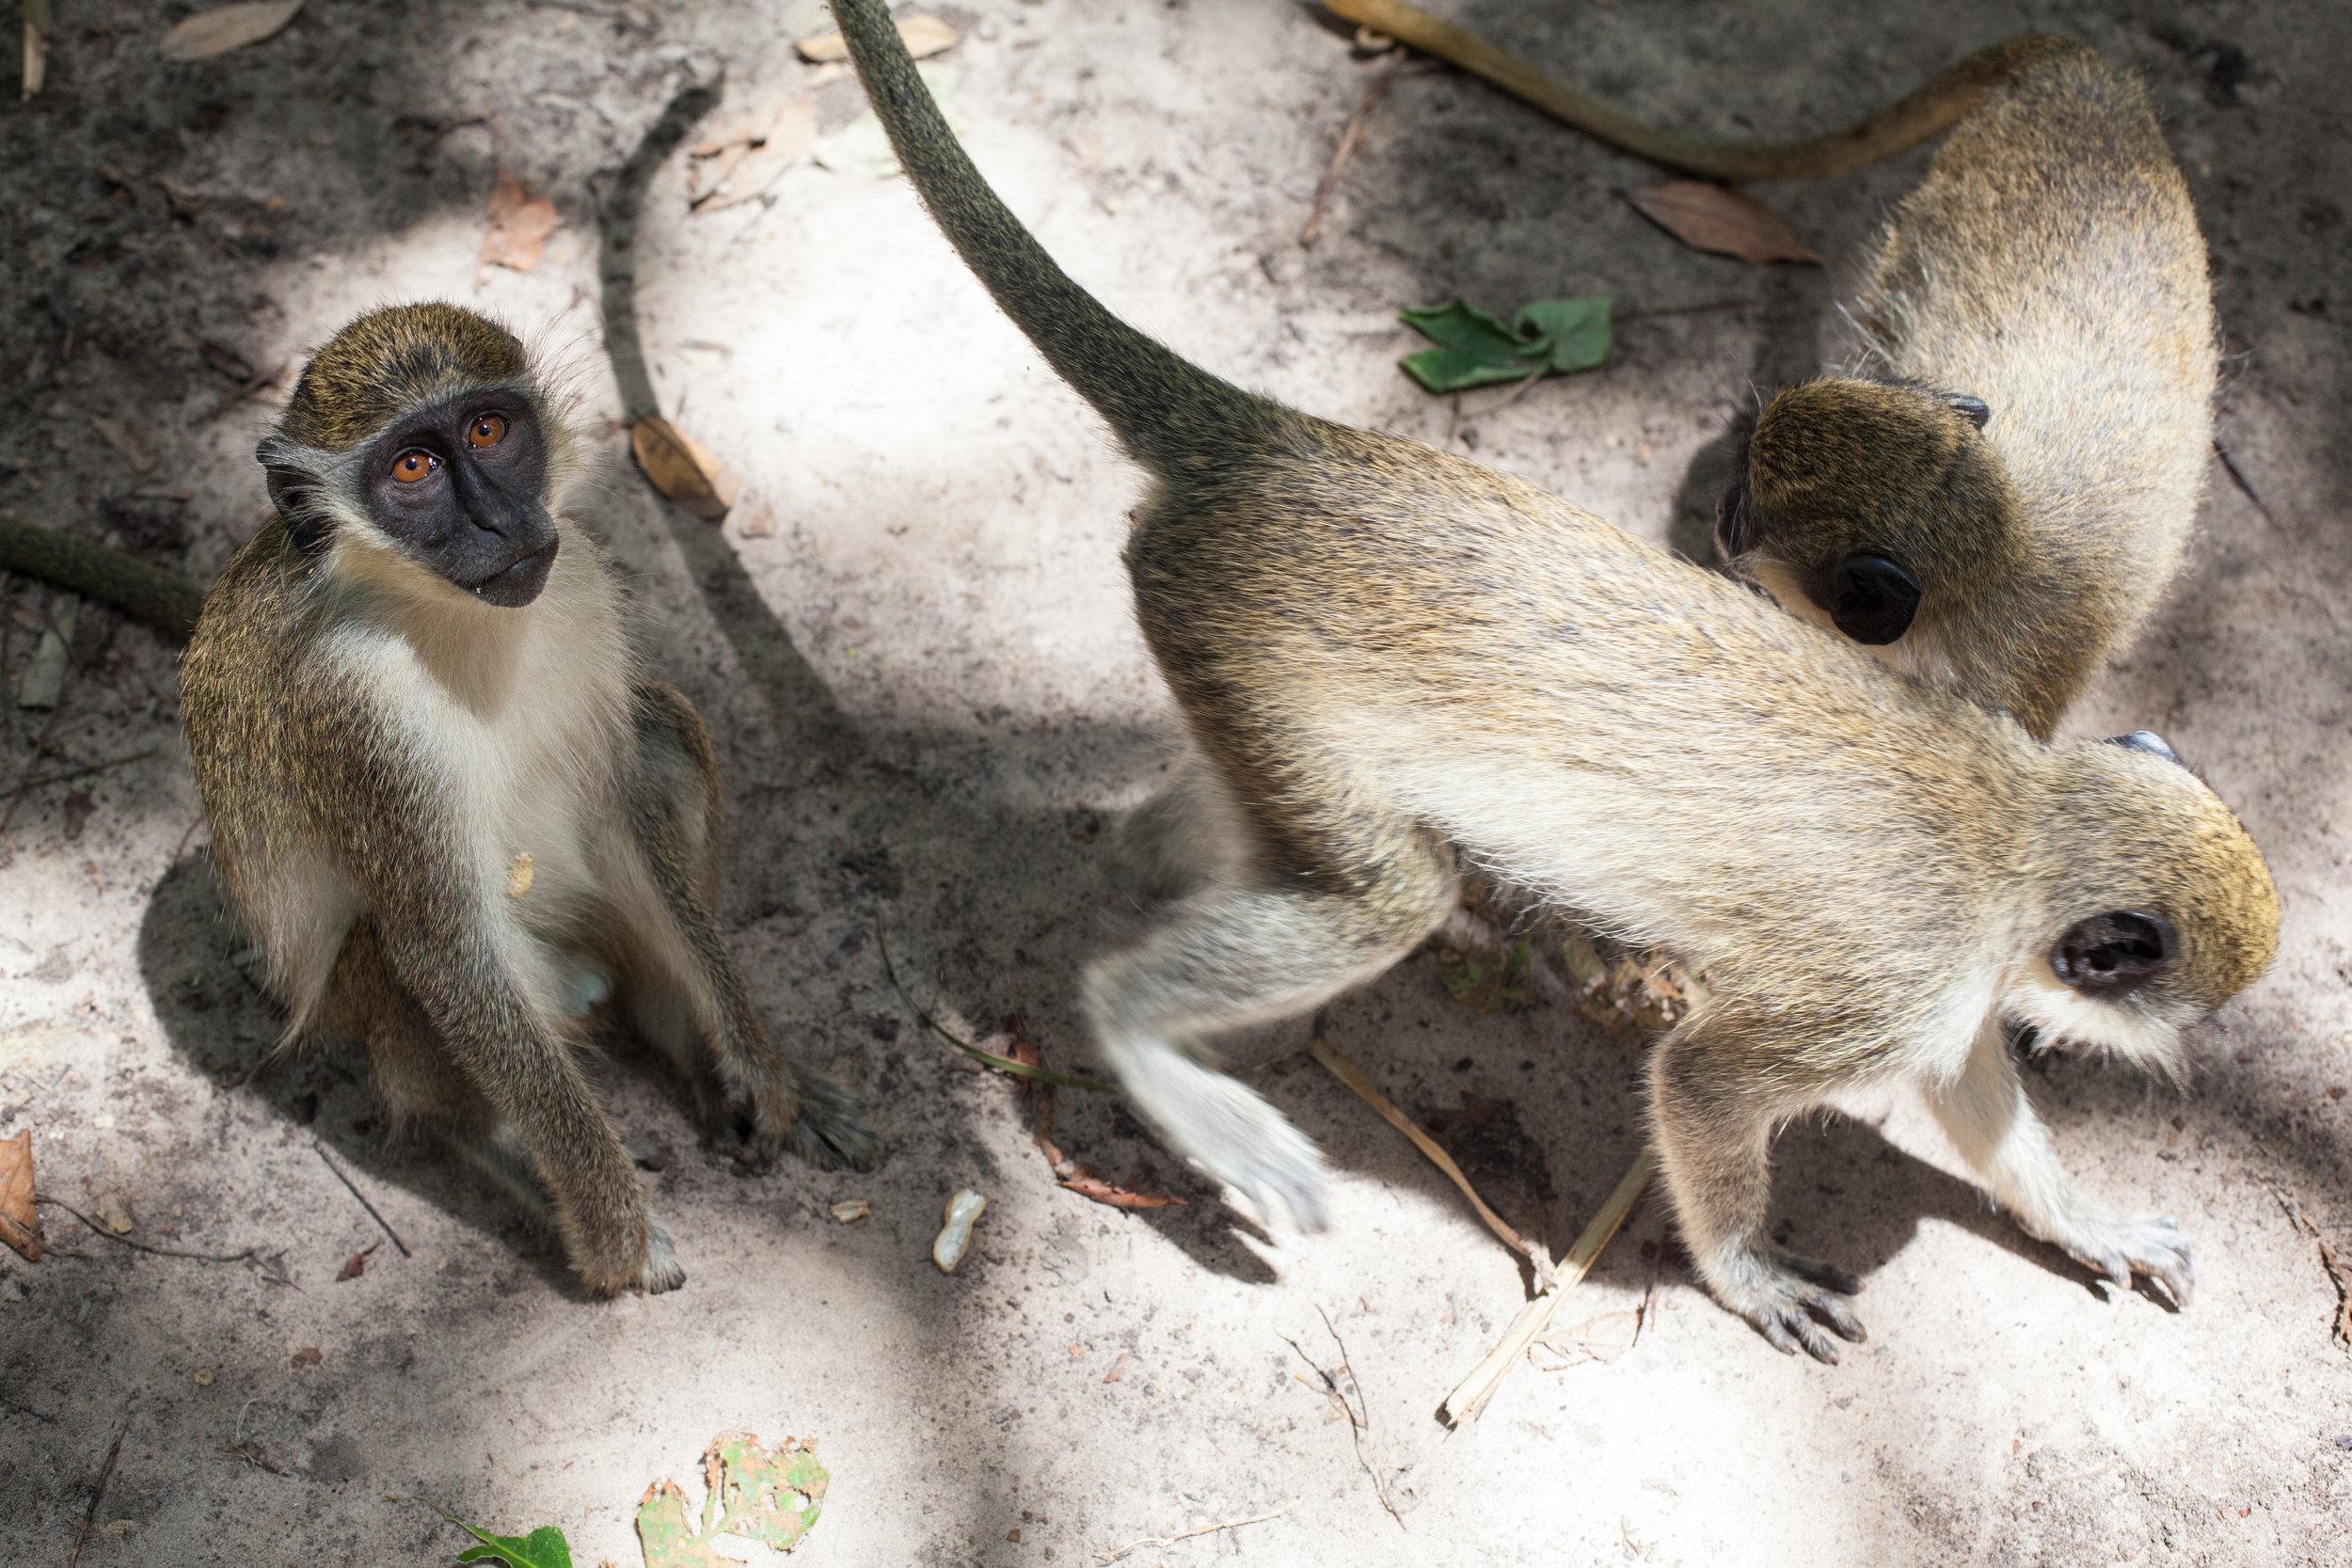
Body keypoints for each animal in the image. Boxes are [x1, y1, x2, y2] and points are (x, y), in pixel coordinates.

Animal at [174, 300, 875, 1297]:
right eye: (412, 468)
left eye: (488, 430)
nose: (502, 521)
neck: (453, 619)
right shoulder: (354, 708)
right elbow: (444, 949)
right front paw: (615, 1228)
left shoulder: (576, 575)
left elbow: (623, 804)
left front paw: (759, 1070)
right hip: (391, 997)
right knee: (402, 965)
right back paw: (498, 1149)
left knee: (663, 731)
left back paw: (697, 1049)